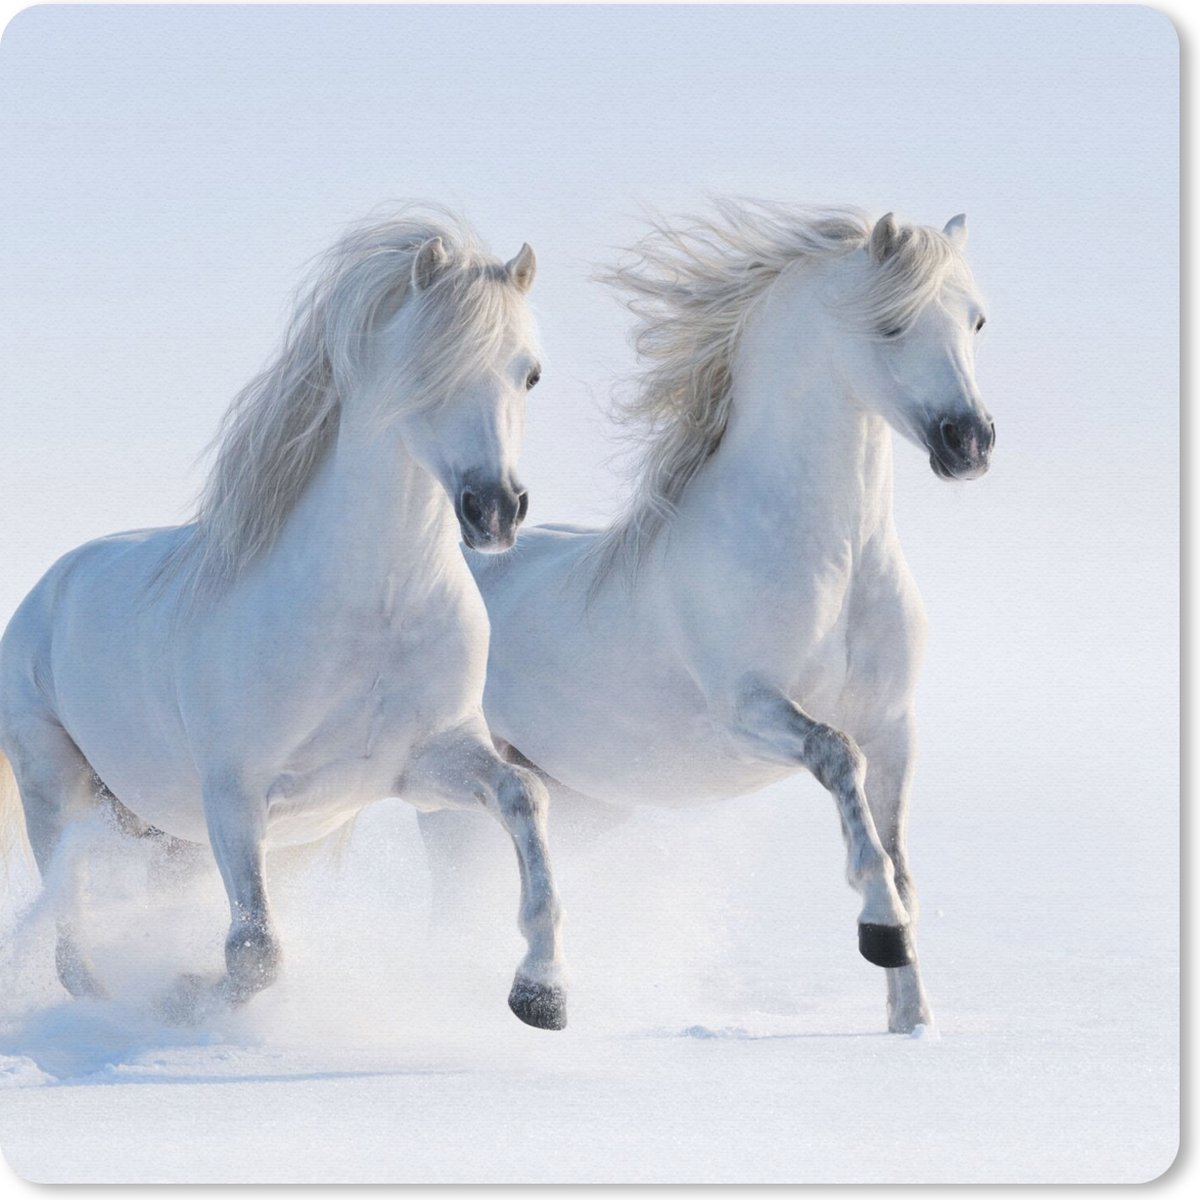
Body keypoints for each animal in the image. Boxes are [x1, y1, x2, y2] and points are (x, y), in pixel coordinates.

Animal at [0, 210, 568, 1030]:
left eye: (529, 373)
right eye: (427, 370)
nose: (494, 510)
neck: (374, 610)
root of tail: (49, 587)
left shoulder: (426, 765)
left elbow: (525, 795)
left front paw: (541, 991)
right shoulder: (234, 796)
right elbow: (254, 951)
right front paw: (184, 998)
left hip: (184, 833)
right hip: (56, 788)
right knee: (72, 939)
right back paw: (110, 1006)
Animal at [422, 202, 995, 1034]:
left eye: (976, 320)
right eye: (891, 324)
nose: (970, 443)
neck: (837, 560)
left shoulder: (895, 726)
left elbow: (899, 856)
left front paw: (912, 1021)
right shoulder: (749, 710)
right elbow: (839, 762)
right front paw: (880, 933)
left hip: (579, 801)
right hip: (449, 790)